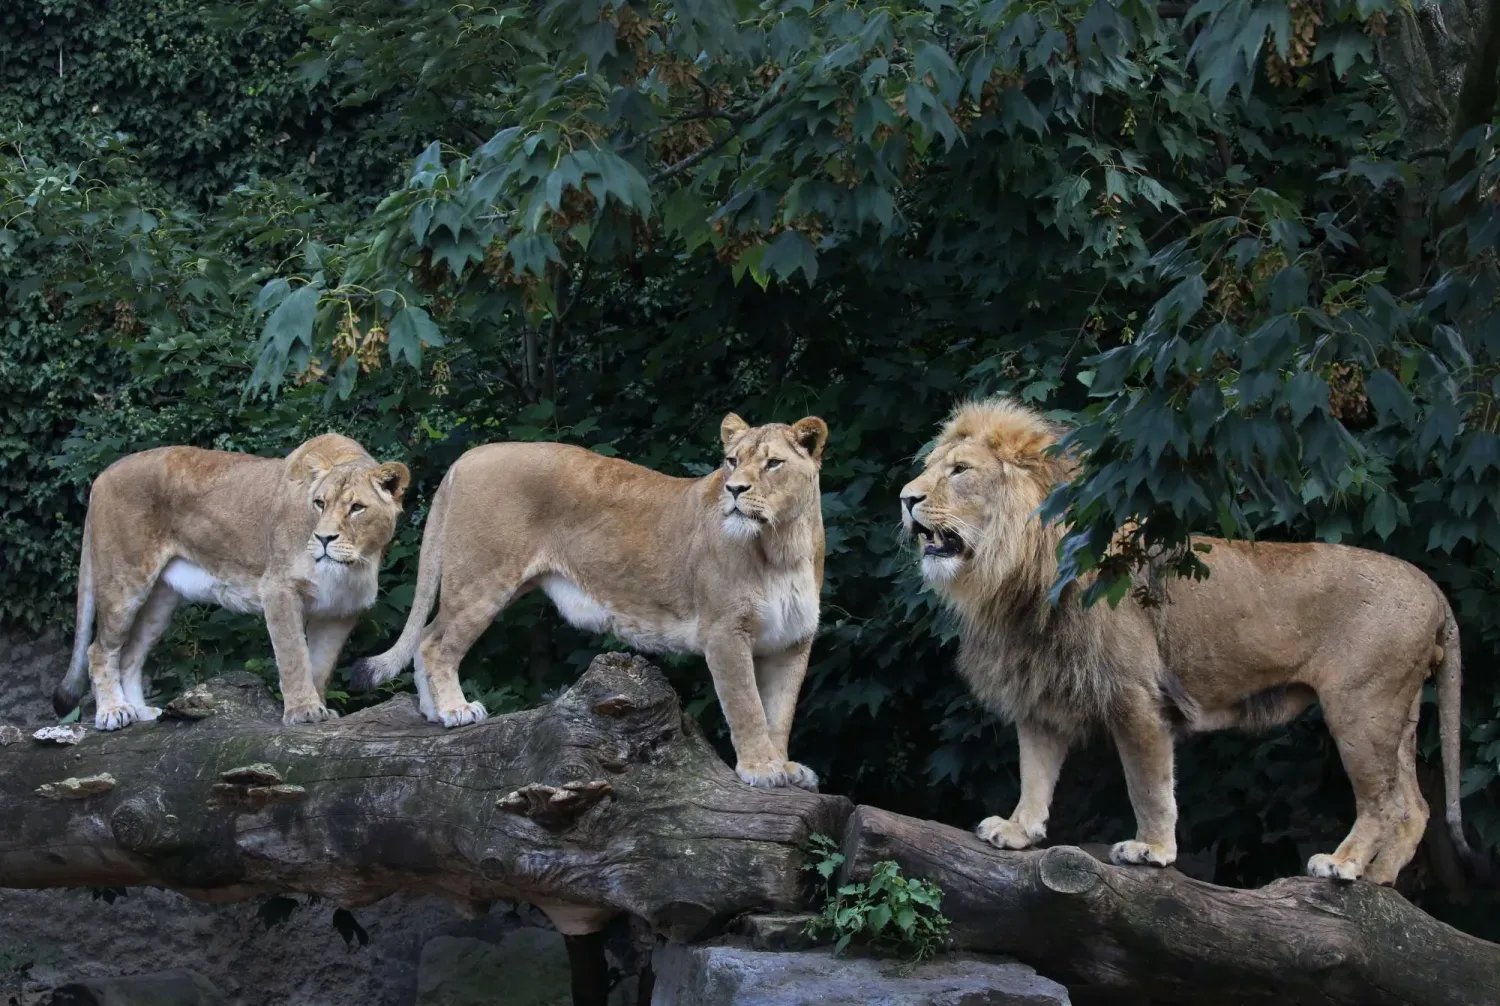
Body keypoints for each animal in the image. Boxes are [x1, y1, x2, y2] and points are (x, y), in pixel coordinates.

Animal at [55, 431, 411, 731]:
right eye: (319, 503)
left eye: (357, 508)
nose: (323, 538)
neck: (354, 565)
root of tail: (103, 475)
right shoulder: (279, 590)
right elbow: (293, 656)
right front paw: (303, 711)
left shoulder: (340, 609)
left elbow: (320, 666)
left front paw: (320, 708)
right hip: (124, 584)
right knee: (99, 651)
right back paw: (114, 712)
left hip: (161, 601)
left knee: (130, 655)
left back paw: (142, 712)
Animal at [345, 413, 828, 791]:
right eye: (732, 461)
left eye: (773, 463)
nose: (733, 489)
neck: (783, 543)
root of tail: (467, 458)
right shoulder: (725, 632)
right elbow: (747, 706)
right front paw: (761, 768)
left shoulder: (792, 641)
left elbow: (779, 711)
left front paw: (786, 766)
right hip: (483, 580)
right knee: (434, 644)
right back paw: (455, 710)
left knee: (428, 632)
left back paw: (432, 712)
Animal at [900, 398, 1476, 887]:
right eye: (931, 465)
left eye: (960, 471)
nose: (905, 498)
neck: (1015, 575)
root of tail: (1434, 589)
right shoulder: (1042, 685)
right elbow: (1035, 771)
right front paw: (1019, 830)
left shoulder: (1135, 695)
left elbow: (1148, 782)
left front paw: (1152, 850)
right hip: (1398, 714)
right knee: (1415, 806)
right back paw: (1379, 879)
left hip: (1360, 708)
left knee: (1383, 801)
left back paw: (1344, 864)